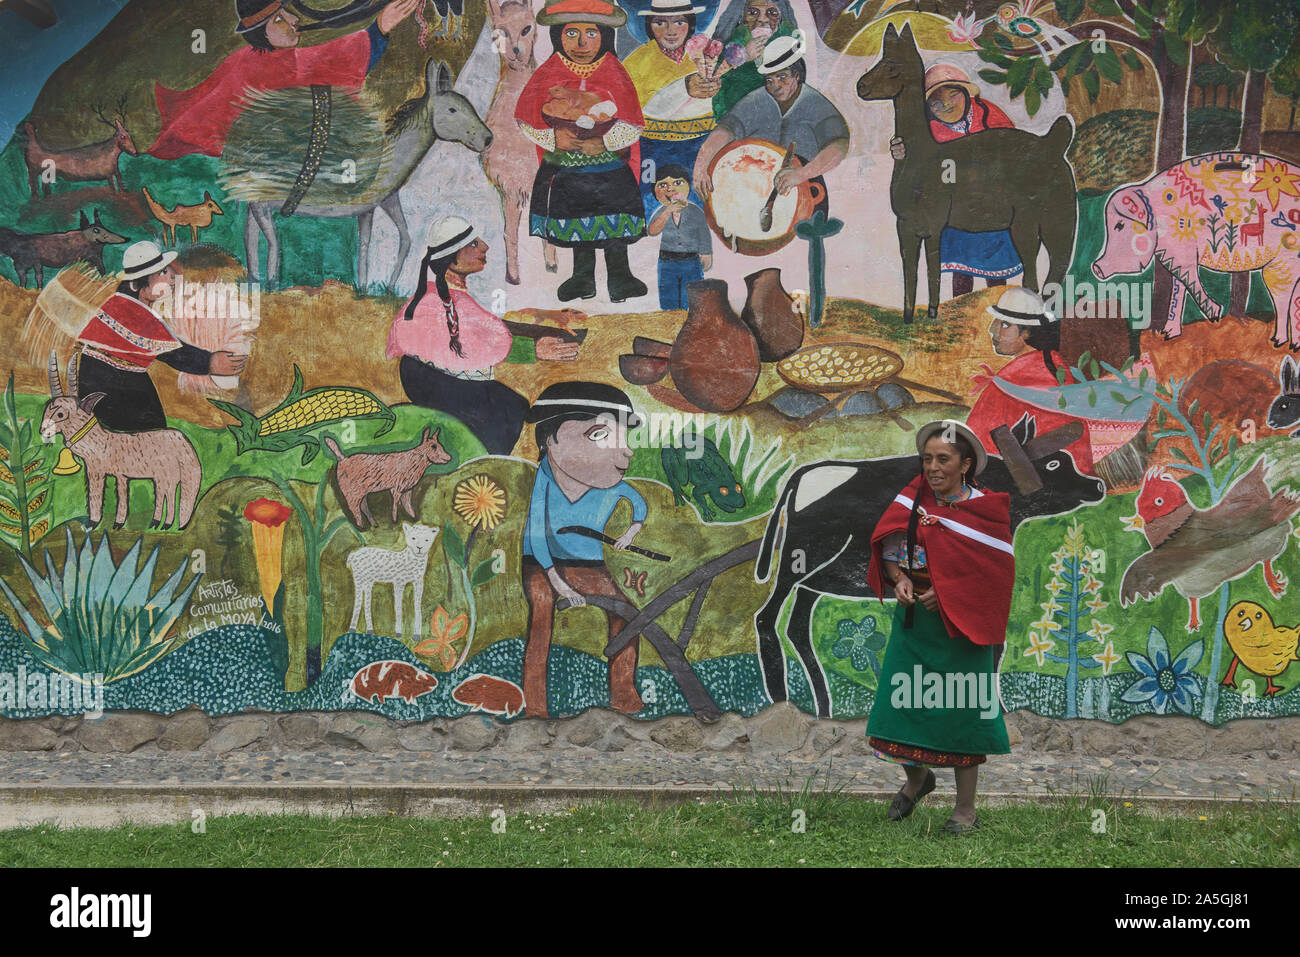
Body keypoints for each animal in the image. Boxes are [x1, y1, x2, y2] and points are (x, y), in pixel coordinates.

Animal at [40, 353, 204, 530]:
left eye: (61, 414)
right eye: (47, 409)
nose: (42, 431)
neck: (102, 442)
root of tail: (185, 444)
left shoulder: (98, 471)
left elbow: (96, 495)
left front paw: (94, 523)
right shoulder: (122, 475)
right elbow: (123, 496)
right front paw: (118, 522)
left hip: (169, 474)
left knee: (170, 494)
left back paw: (166, 524)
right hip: (161, 476)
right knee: (163, 494)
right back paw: (156, 522)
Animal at [754, 416, 1107, 717]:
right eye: (1053, 463)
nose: (1098, 486)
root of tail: (804, 475)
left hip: (812, 582)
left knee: (797, 628)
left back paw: (822, 708)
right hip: (797, 564)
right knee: (766, 618)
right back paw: (780, 700)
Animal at [1092, 153, 1300, 351]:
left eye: (1119, 225)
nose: (1096, 267)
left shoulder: (1182, 245)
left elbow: (1187, 275)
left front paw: (1215, 314)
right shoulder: (1174, 252)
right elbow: (1178, 286)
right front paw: (1168, 335)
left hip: (1284, 259)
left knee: (1282, 296)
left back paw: (1277, 342)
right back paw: (1293, 345)